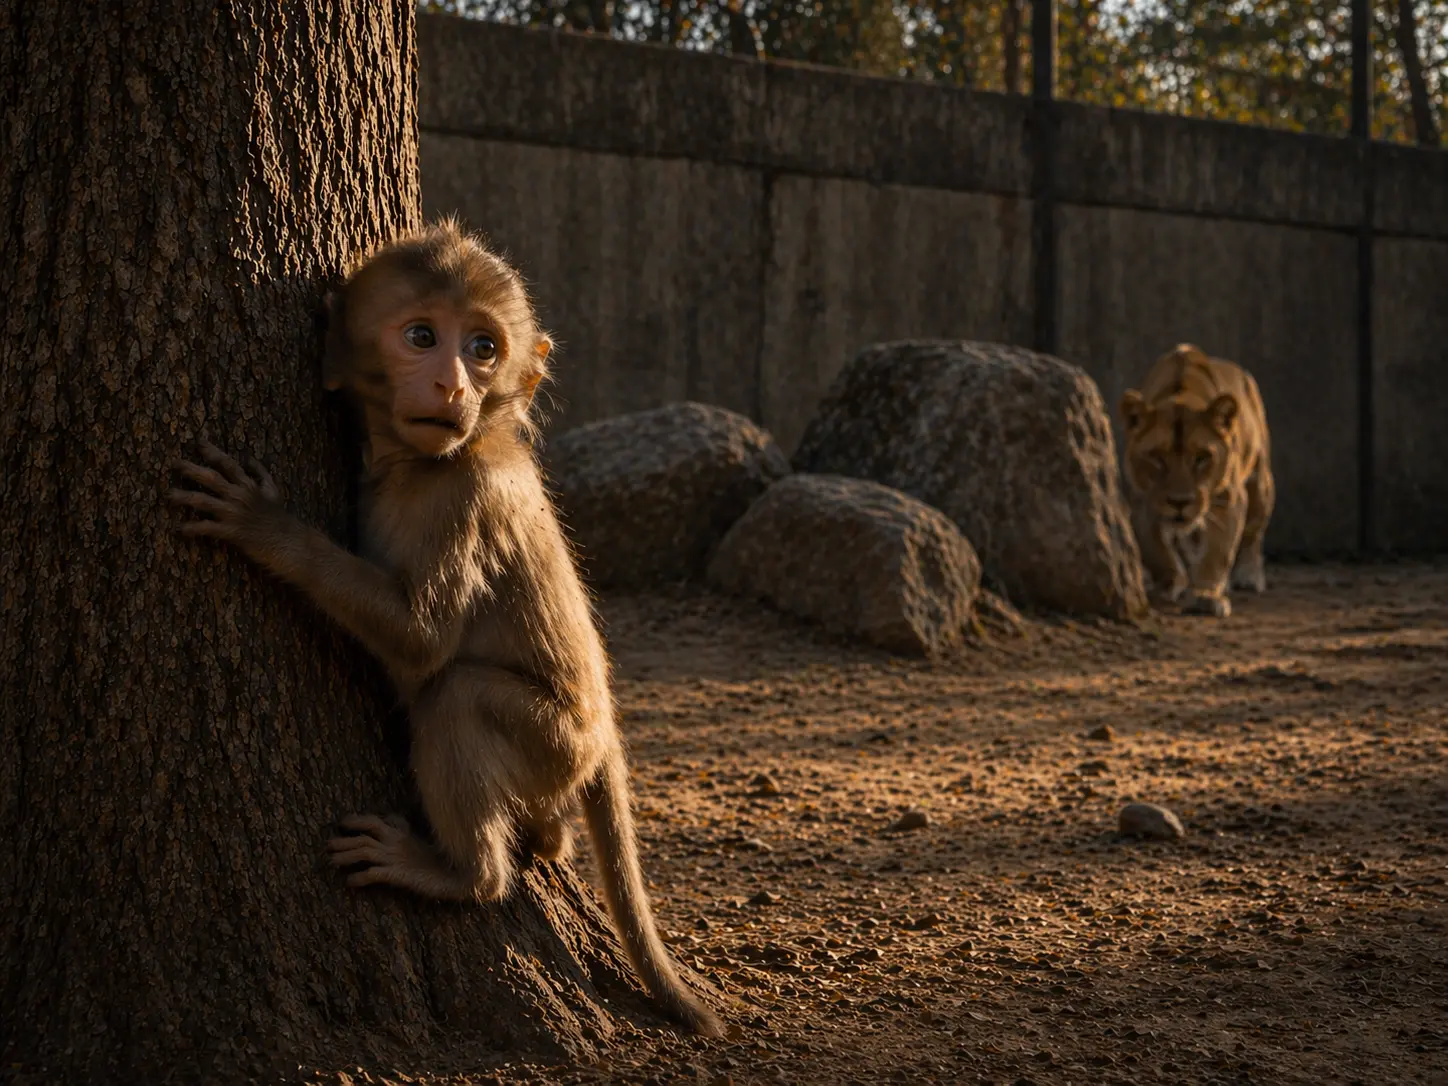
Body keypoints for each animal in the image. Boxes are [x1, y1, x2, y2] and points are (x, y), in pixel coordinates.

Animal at [167, 219, 725, 1039]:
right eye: (422, 336)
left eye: (483, 347)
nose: (454, 386)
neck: (426, 461)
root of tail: (604, 736)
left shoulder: (464, 501)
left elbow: (425, 642)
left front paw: (267, 527)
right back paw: (546, 837)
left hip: (555, 741)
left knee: (457, 694)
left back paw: (465, 875)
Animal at [1118, 343, 1274, 618]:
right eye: (1157, 457)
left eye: (1202, 457)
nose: (1180, 502)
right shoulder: (1140, 500)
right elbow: (1153, 547)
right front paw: (1170, 582)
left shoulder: (1227, 496)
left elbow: (1217, 551)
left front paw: (1205, 595)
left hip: (1260, 483)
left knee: (1254, 532)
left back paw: (1248, 575)